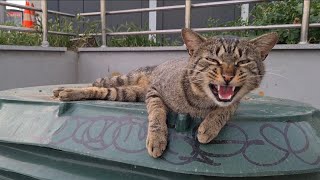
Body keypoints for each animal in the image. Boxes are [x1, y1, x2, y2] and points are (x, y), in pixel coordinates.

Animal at [52, 28, 278, 158]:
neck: (200, 100)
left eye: (243, 62)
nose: (228, 75)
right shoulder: (154, 91)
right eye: (213, 60)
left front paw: (209, 126)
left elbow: (226, 108)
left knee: (101, 91)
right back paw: (63, 89)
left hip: (127, 93)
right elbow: (157, 112)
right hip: (125, 81)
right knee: (97, 83)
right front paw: (157, 137)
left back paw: (65, 92)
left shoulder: (236, 101)